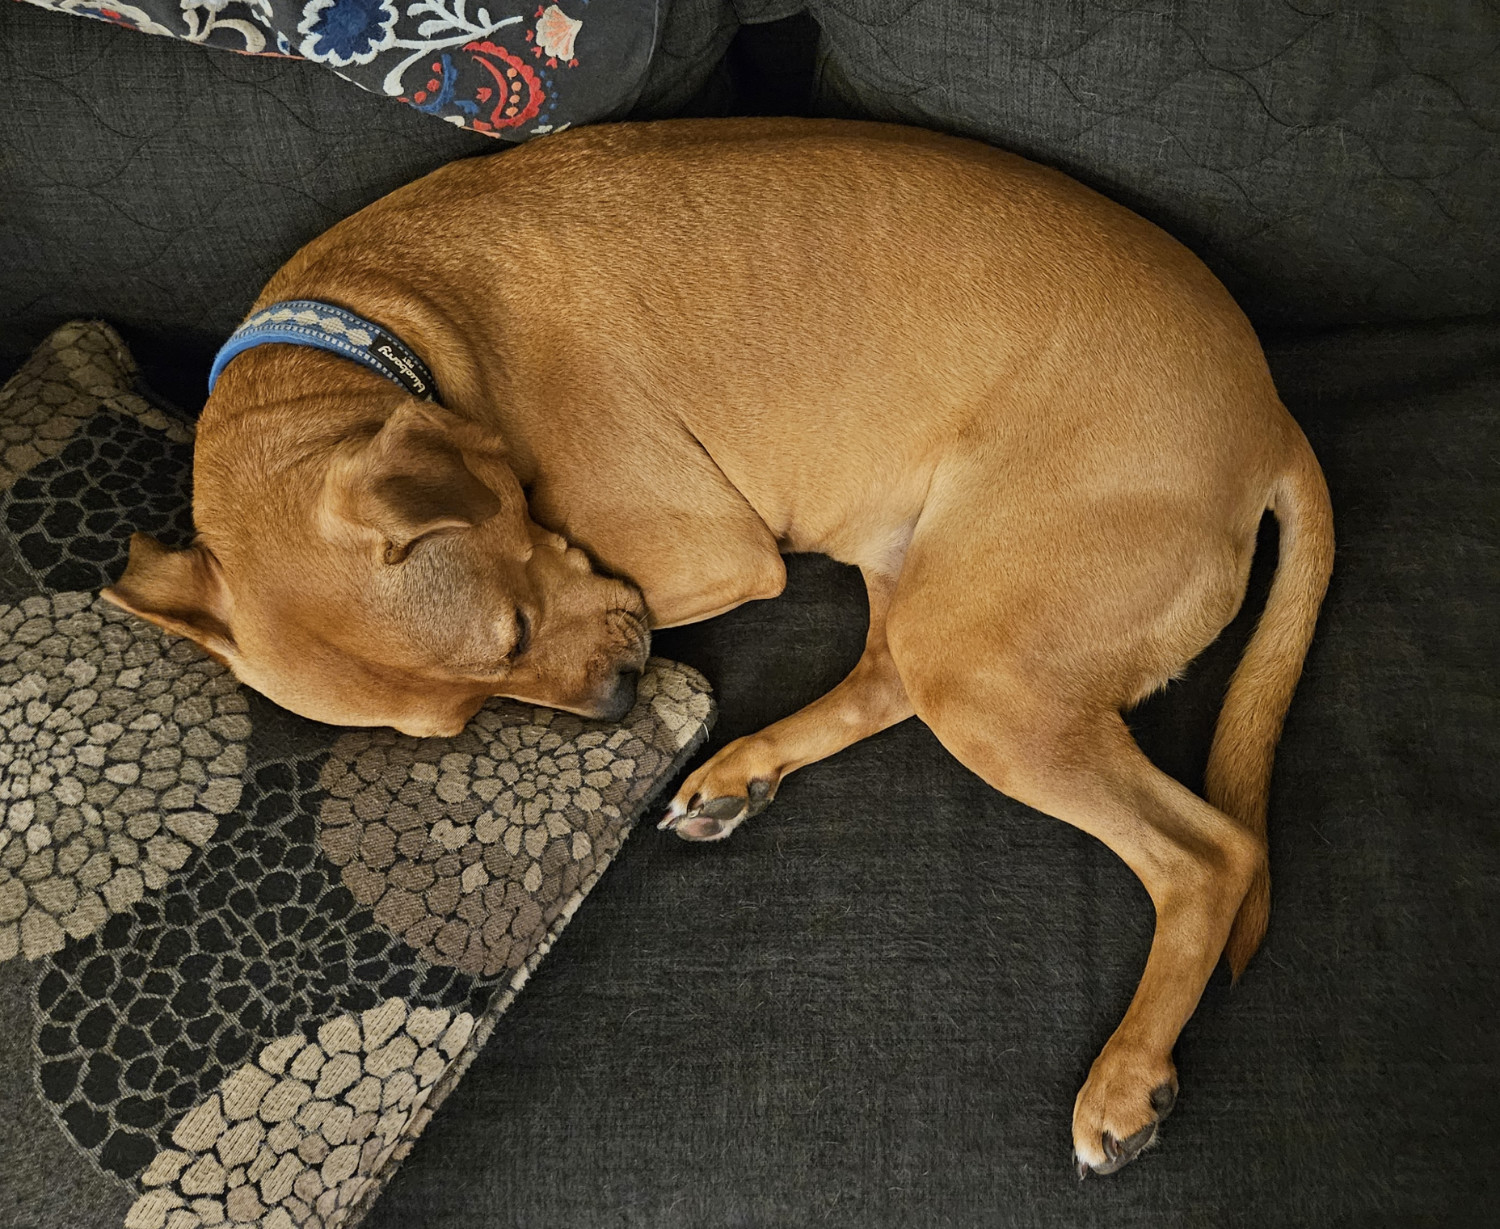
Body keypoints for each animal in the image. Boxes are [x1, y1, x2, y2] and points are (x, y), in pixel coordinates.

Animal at [99, 117, 1332, 1182]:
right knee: (887, 675)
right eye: (462, 717)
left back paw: (1125, 1077)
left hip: (985, 659)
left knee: (1208, 856)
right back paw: (741, 771)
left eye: (512, 632)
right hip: (937, 591)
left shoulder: (714, 553)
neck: (388, 325)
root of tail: (1272, 418)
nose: (614, 699)